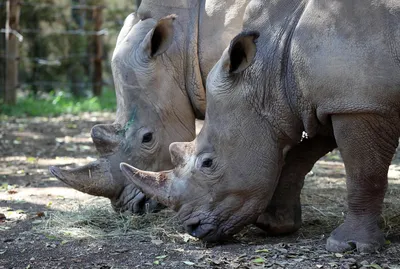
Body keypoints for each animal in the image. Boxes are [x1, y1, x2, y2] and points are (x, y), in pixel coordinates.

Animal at [121, 0, 400, 251]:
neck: (272, 68)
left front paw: (349, 246)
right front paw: (273, 224)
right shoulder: (328, 101)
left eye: (208, 163)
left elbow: (363, 173)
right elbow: (299, 154)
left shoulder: (360, 103)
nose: (193, 228)